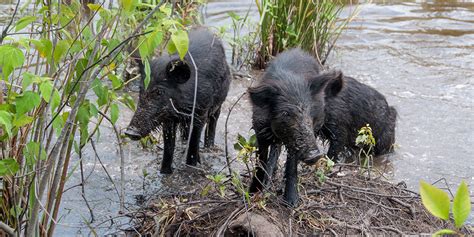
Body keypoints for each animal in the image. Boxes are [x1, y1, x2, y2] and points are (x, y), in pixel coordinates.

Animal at [125, 27, 231, 174]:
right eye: (140, 90)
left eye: (159, 92)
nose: (130, 132)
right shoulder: (168, 119)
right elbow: (169, 146)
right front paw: (164, 172)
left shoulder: (200, 113)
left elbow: (193, 143)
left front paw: (191, 166)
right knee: (185, 135)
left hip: (219, 103)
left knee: (212, 125)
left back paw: (208, 147)